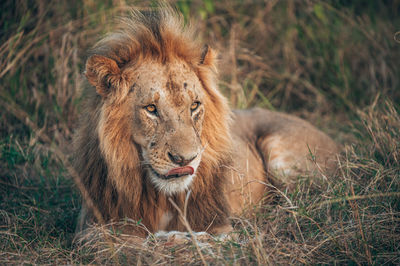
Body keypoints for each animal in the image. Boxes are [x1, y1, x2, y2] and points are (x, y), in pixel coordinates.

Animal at [73, 5, 340, 236]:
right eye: (151, 109)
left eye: (194, 106)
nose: (185, 160)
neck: (161, 197)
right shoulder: (91, 228)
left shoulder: (219, 225)